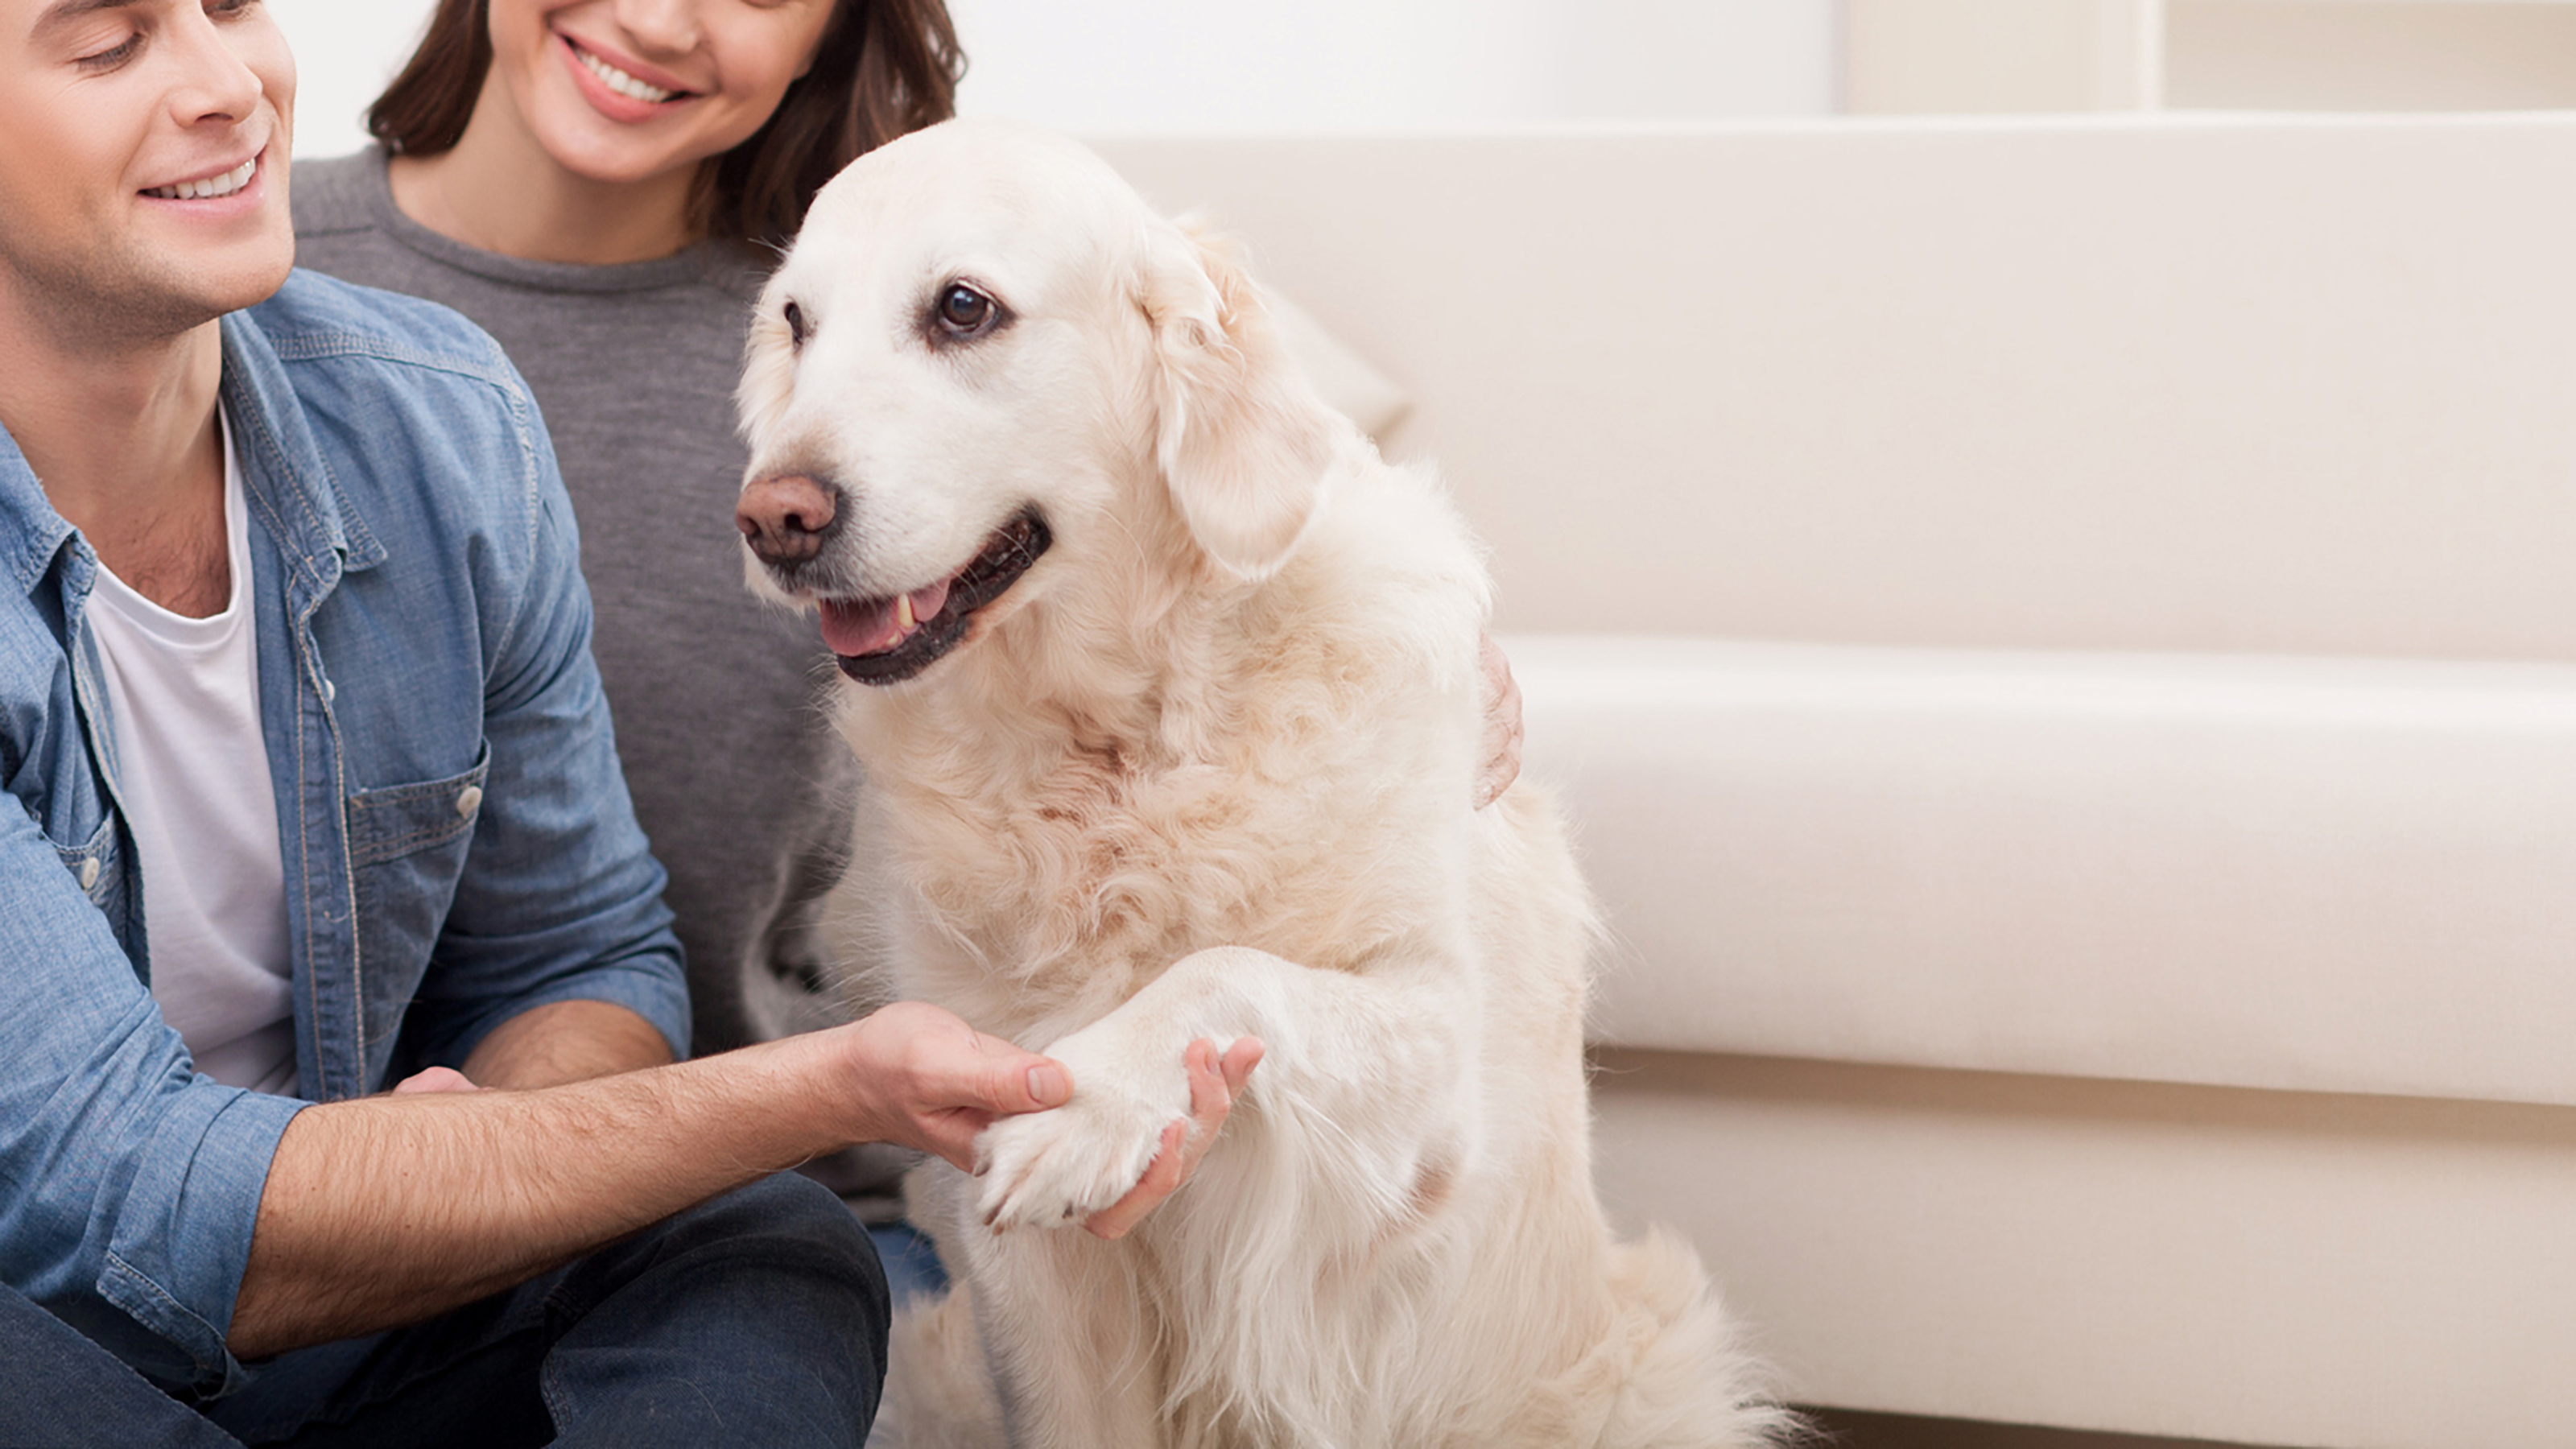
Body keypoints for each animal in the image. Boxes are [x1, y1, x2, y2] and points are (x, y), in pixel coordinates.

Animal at [726, 121, 1782, 1443]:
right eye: (797, 322)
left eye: (963, 308)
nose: (773, 517)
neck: (1121, 753)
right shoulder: (1022, 1272)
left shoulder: (1429, 1100)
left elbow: (1231, 970)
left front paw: (1091, 1098)